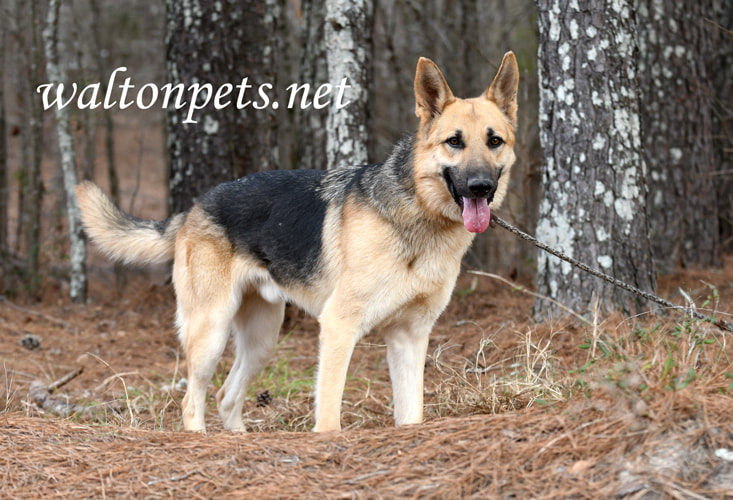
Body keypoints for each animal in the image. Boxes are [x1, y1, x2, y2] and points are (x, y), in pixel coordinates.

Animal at [77, 52, 516, 432]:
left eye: (494, 141)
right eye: (454, 142)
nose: (480, 187)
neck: (418, 218)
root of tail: (194, 207)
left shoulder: (409, 339)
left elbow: (412, 416)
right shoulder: (338, 327)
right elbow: (329, 415)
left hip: (261, 340)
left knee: (226, 397)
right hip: (210, 333)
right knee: (192, 401)